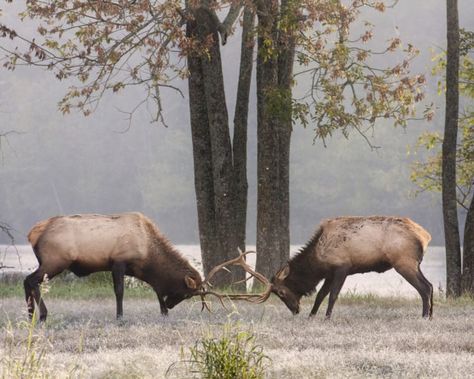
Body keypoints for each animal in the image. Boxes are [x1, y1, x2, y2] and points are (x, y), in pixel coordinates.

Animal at [25, 212, 210, 322]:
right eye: (187, 294)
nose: (170, 305)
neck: (148, 253)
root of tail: (32, 233)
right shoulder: (119, 262)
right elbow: (119, 291)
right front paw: (120, 316)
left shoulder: (140, 271)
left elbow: (156, 289)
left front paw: (163, 312)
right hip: (55, 262)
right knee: (31, 280)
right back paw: (42, 315)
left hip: (48, 263)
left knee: (27, 280)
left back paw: (30, 314)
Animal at [270, 217, 434, 320]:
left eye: (281, 292)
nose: (295, 310)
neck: (318, 262)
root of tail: (424, 236)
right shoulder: (330, 273)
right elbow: (320, 295)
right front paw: (311, 316)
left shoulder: (342, 267)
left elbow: (333, 295)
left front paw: (327, 317)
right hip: (414, 264)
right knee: (430, 285)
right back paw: (431, 315)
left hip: (403, 262)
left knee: (424, 288)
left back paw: (425, 316)